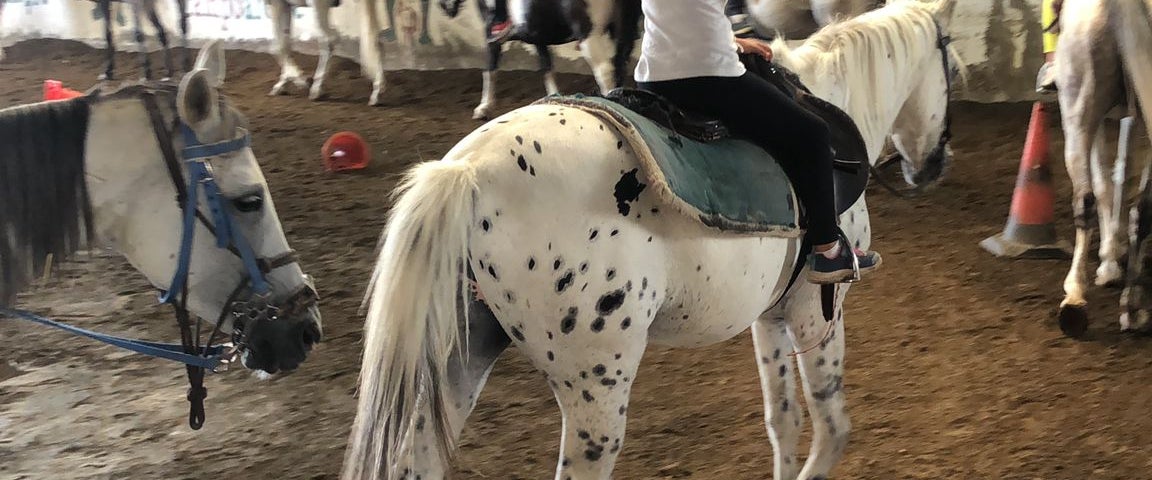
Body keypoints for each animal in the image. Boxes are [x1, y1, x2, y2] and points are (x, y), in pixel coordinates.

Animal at [438, 0, 642, 120]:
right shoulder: (537, 36)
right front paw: (554, 99)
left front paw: (483, 108)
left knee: (604, 70)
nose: (444, 7)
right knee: (619, 66)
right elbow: (546, 67)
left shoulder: (491, 36)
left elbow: (490, 69)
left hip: (590, 35)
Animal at [1051, 0, 1152, 335]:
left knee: (1085, 199)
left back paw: (1075, 298)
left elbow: (1105, 184)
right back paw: (1132, 307)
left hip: (1079, 113)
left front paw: (1108, 262)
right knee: (1143, 209)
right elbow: (1118, 177)